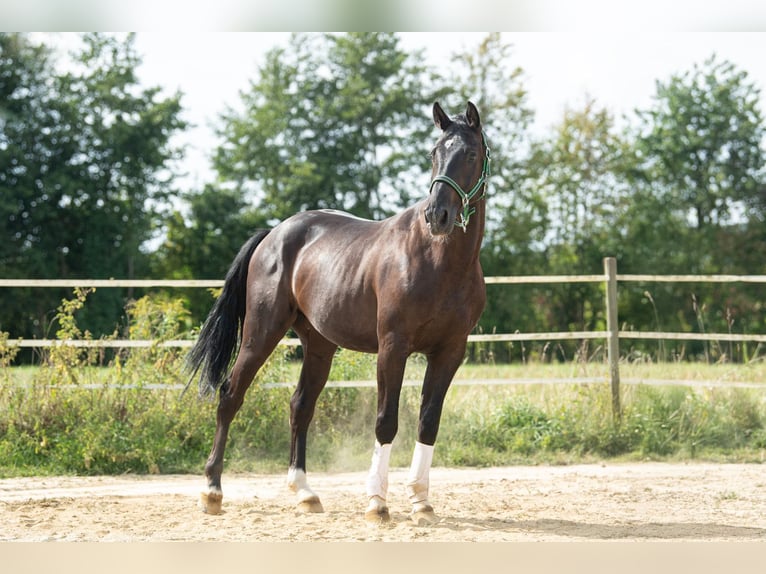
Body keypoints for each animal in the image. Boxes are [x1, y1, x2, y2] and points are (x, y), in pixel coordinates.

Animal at [187, 101, 490, 525]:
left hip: (319, 346)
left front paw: (421, 501)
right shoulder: (392, 348)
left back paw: (305, 493)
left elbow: (428, 422)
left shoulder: (450, 352)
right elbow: (386, 421)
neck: (440, 262)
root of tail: (274, 235)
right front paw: (377, 502)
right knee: (231, 395)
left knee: (300, 406)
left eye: (471, 155)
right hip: (262, 333)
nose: (437, 215)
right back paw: (212, 491)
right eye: (434, 153)